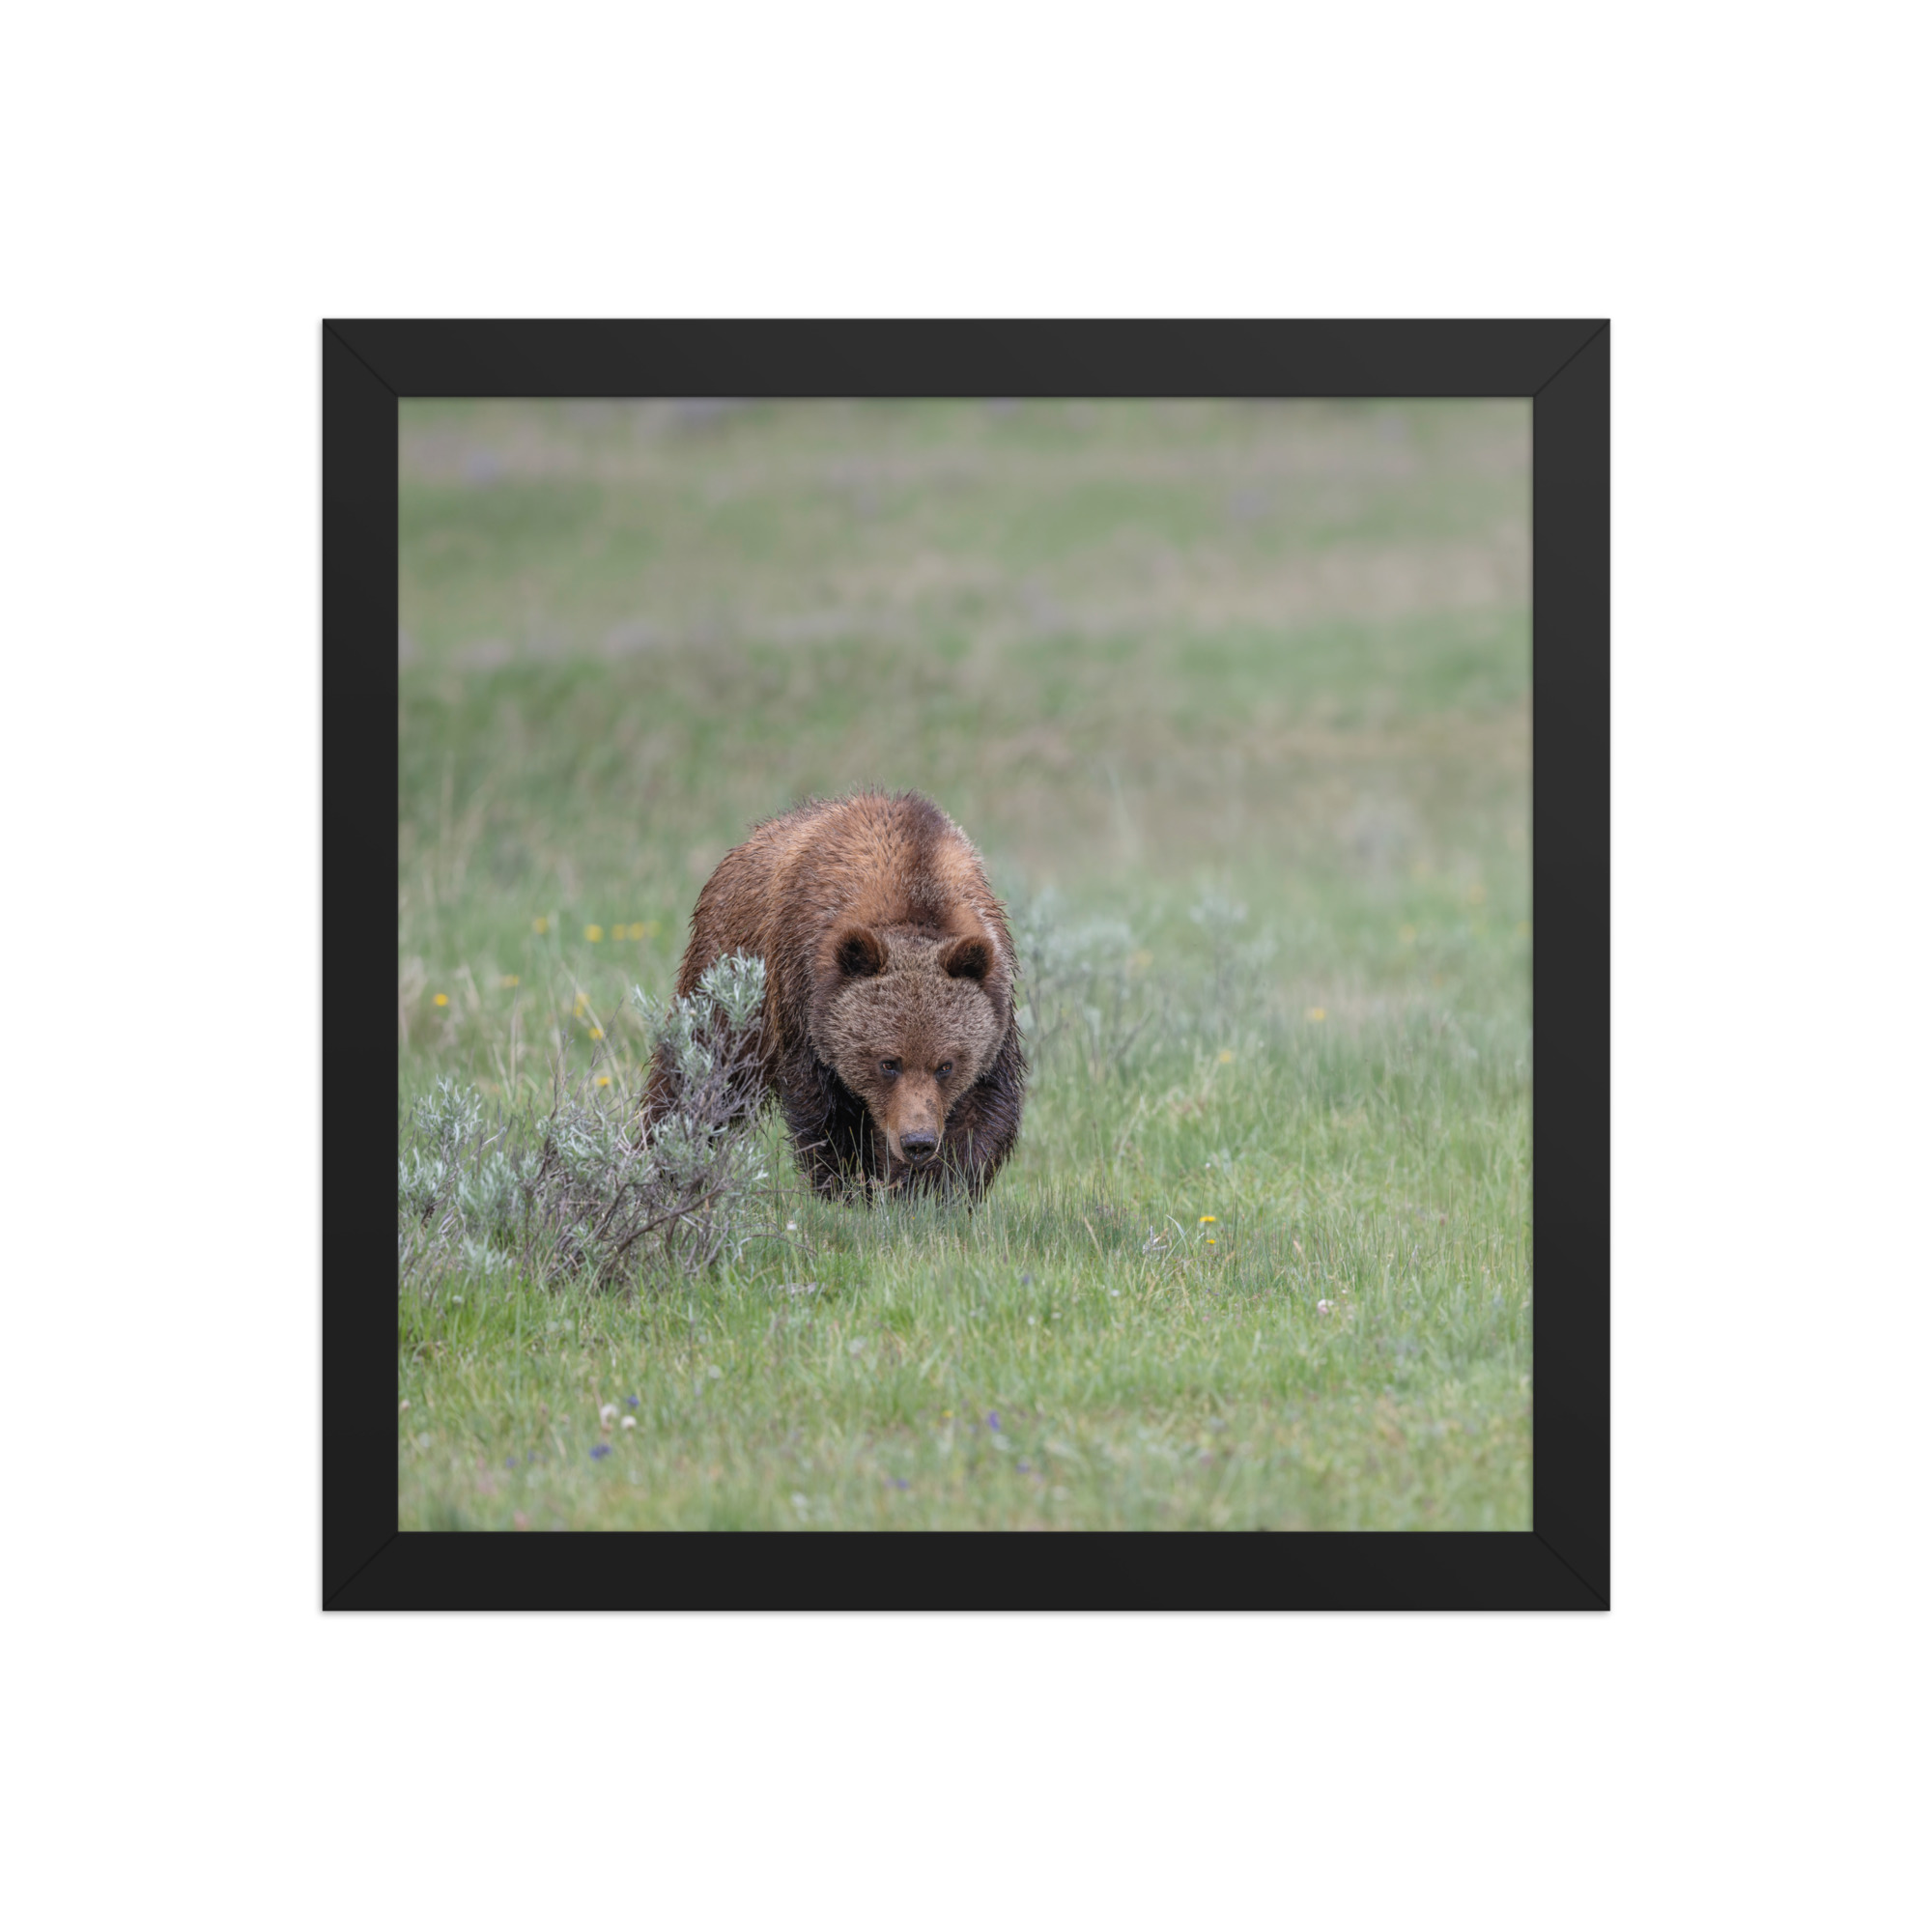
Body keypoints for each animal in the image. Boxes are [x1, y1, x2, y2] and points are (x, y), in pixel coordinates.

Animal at [643, 790, 1026, 1200]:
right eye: (888, 1062)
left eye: (946, 1065)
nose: (917, 1142)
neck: (914, 889)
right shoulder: (803, 996)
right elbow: (826, 1113)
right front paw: (850, 1187)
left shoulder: (995, 1007)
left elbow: (982, 1111)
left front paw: (932, 1191)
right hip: (728, 976)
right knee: (698, 1071)